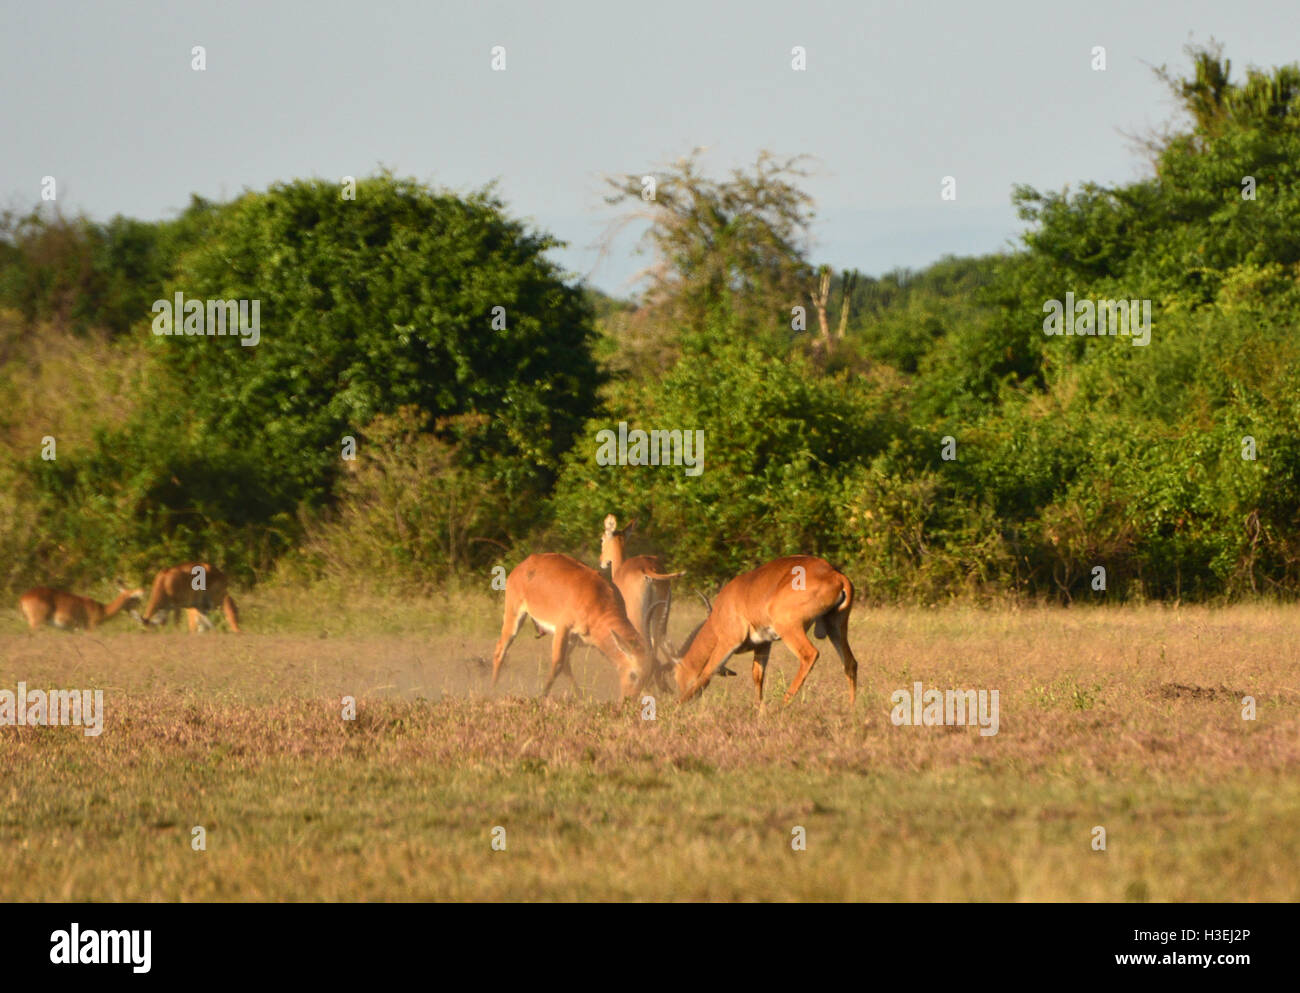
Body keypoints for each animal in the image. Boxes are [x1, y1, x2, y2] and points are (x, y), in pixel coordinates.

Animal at [493, 553, 665, 701]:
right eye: (633, 675)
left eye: (647, 677)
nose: (628, 700)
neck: (598, 599)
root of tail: (524, 564)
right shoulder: (562, 628)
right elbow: (557, 663)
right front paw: (541, 696)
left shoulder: (579, 639)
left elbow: (564, 664)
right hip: (514, 615)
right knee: (500, 649)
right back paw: (493, 688)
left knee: (566, 665)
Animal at [670, 553, 863, 712]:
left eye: (676, 674)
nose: (677, 691)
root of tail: (835, 574)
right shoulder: (763, 644)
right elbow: (757, 675)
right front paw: (758, 710)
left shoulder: (728, 642)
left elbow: (707, 672)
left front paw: (675, 707)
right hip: (835, 627)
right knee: (850, 663)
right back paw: (851, 708)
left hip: (789, 628)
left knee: (810, 654)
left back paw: (781, 706)